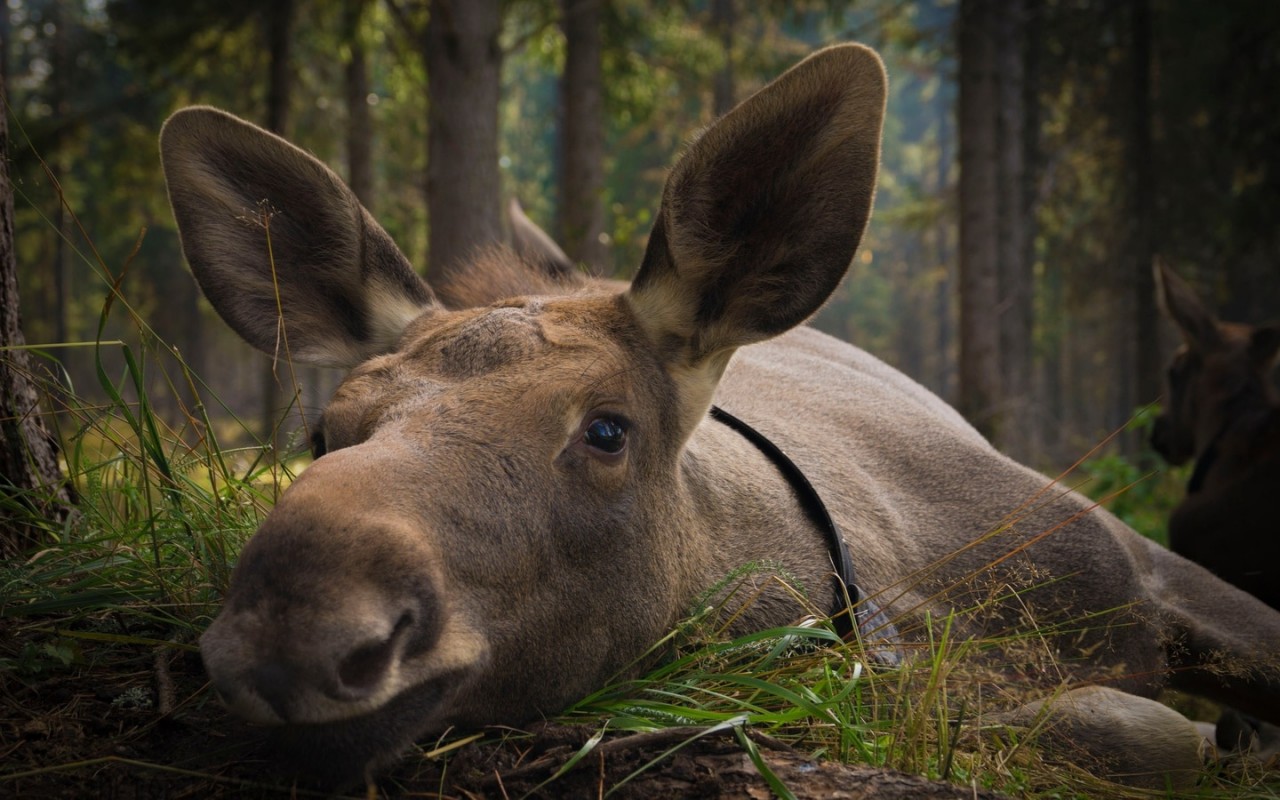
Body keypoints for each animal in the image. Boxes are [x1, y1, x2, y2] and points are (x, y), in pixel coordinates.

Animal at [160, 45, 1280, 788]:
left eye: (607, 428)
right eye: (323, 431)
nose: (298, 631)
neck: (899, 596)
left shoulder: (1147, 563)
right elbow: (1106, 729)